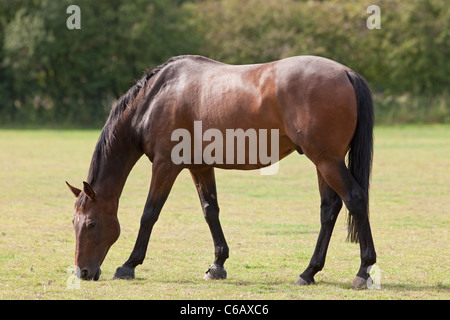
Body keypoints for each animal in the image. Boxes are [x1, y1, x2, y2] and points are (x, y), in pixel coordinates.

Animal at [66, 55, 376, 290]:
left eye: (91, 224)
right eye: (74, 223)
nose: (82, 272)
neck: (155, 98)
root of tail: (347, 73)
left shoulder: (165, 165)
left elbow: (149, 214)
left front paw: (129, 265)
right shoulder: (200, 166)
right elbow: (210, 211)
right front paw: (218, 264)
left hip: (326, 160)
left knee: (355, 199)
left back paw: (363, 271)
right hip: (324, 163)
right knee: (329, 209)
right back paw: (309, 271)